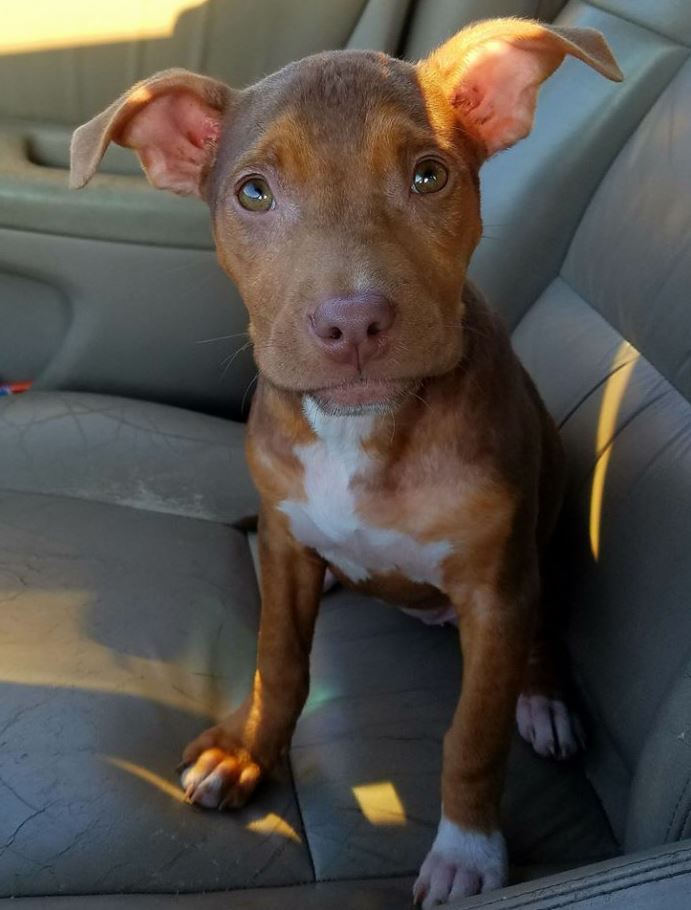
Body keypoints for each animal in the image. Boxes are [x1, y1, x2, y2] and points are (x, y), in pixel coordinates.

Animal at [73, 19, 624, 904]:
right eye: (253, 193)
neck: (361, 432)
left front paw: (469, 852)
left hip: (543, 549)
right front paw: (244, 752)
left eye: (429, 175)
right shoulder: (283, 538)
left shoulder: (494, 587)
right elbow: (279, 663)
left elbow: (472, 734)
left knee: (541, 635)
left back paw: (543, 702)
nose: (353, 322)